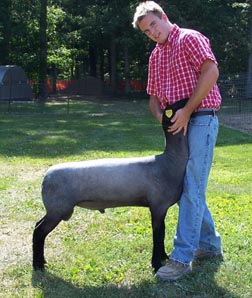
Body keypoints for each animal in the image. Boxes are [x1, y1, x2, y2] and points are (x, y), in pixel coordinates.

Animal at [32, 99, 188, 272]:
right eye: (178, 104)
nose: (189, 100)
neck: (170, 162)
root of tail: (46, 176)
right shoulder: (157, 206)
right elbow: (158, 234)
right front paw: (156, 264)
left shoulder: (161, 208)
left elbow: (162, 233)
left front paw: (163, 257)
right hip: (58, 209)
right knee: (39, 231)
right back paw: (38, 265)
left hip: (55, 209)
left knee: (38, 226)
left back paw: (41, 261)